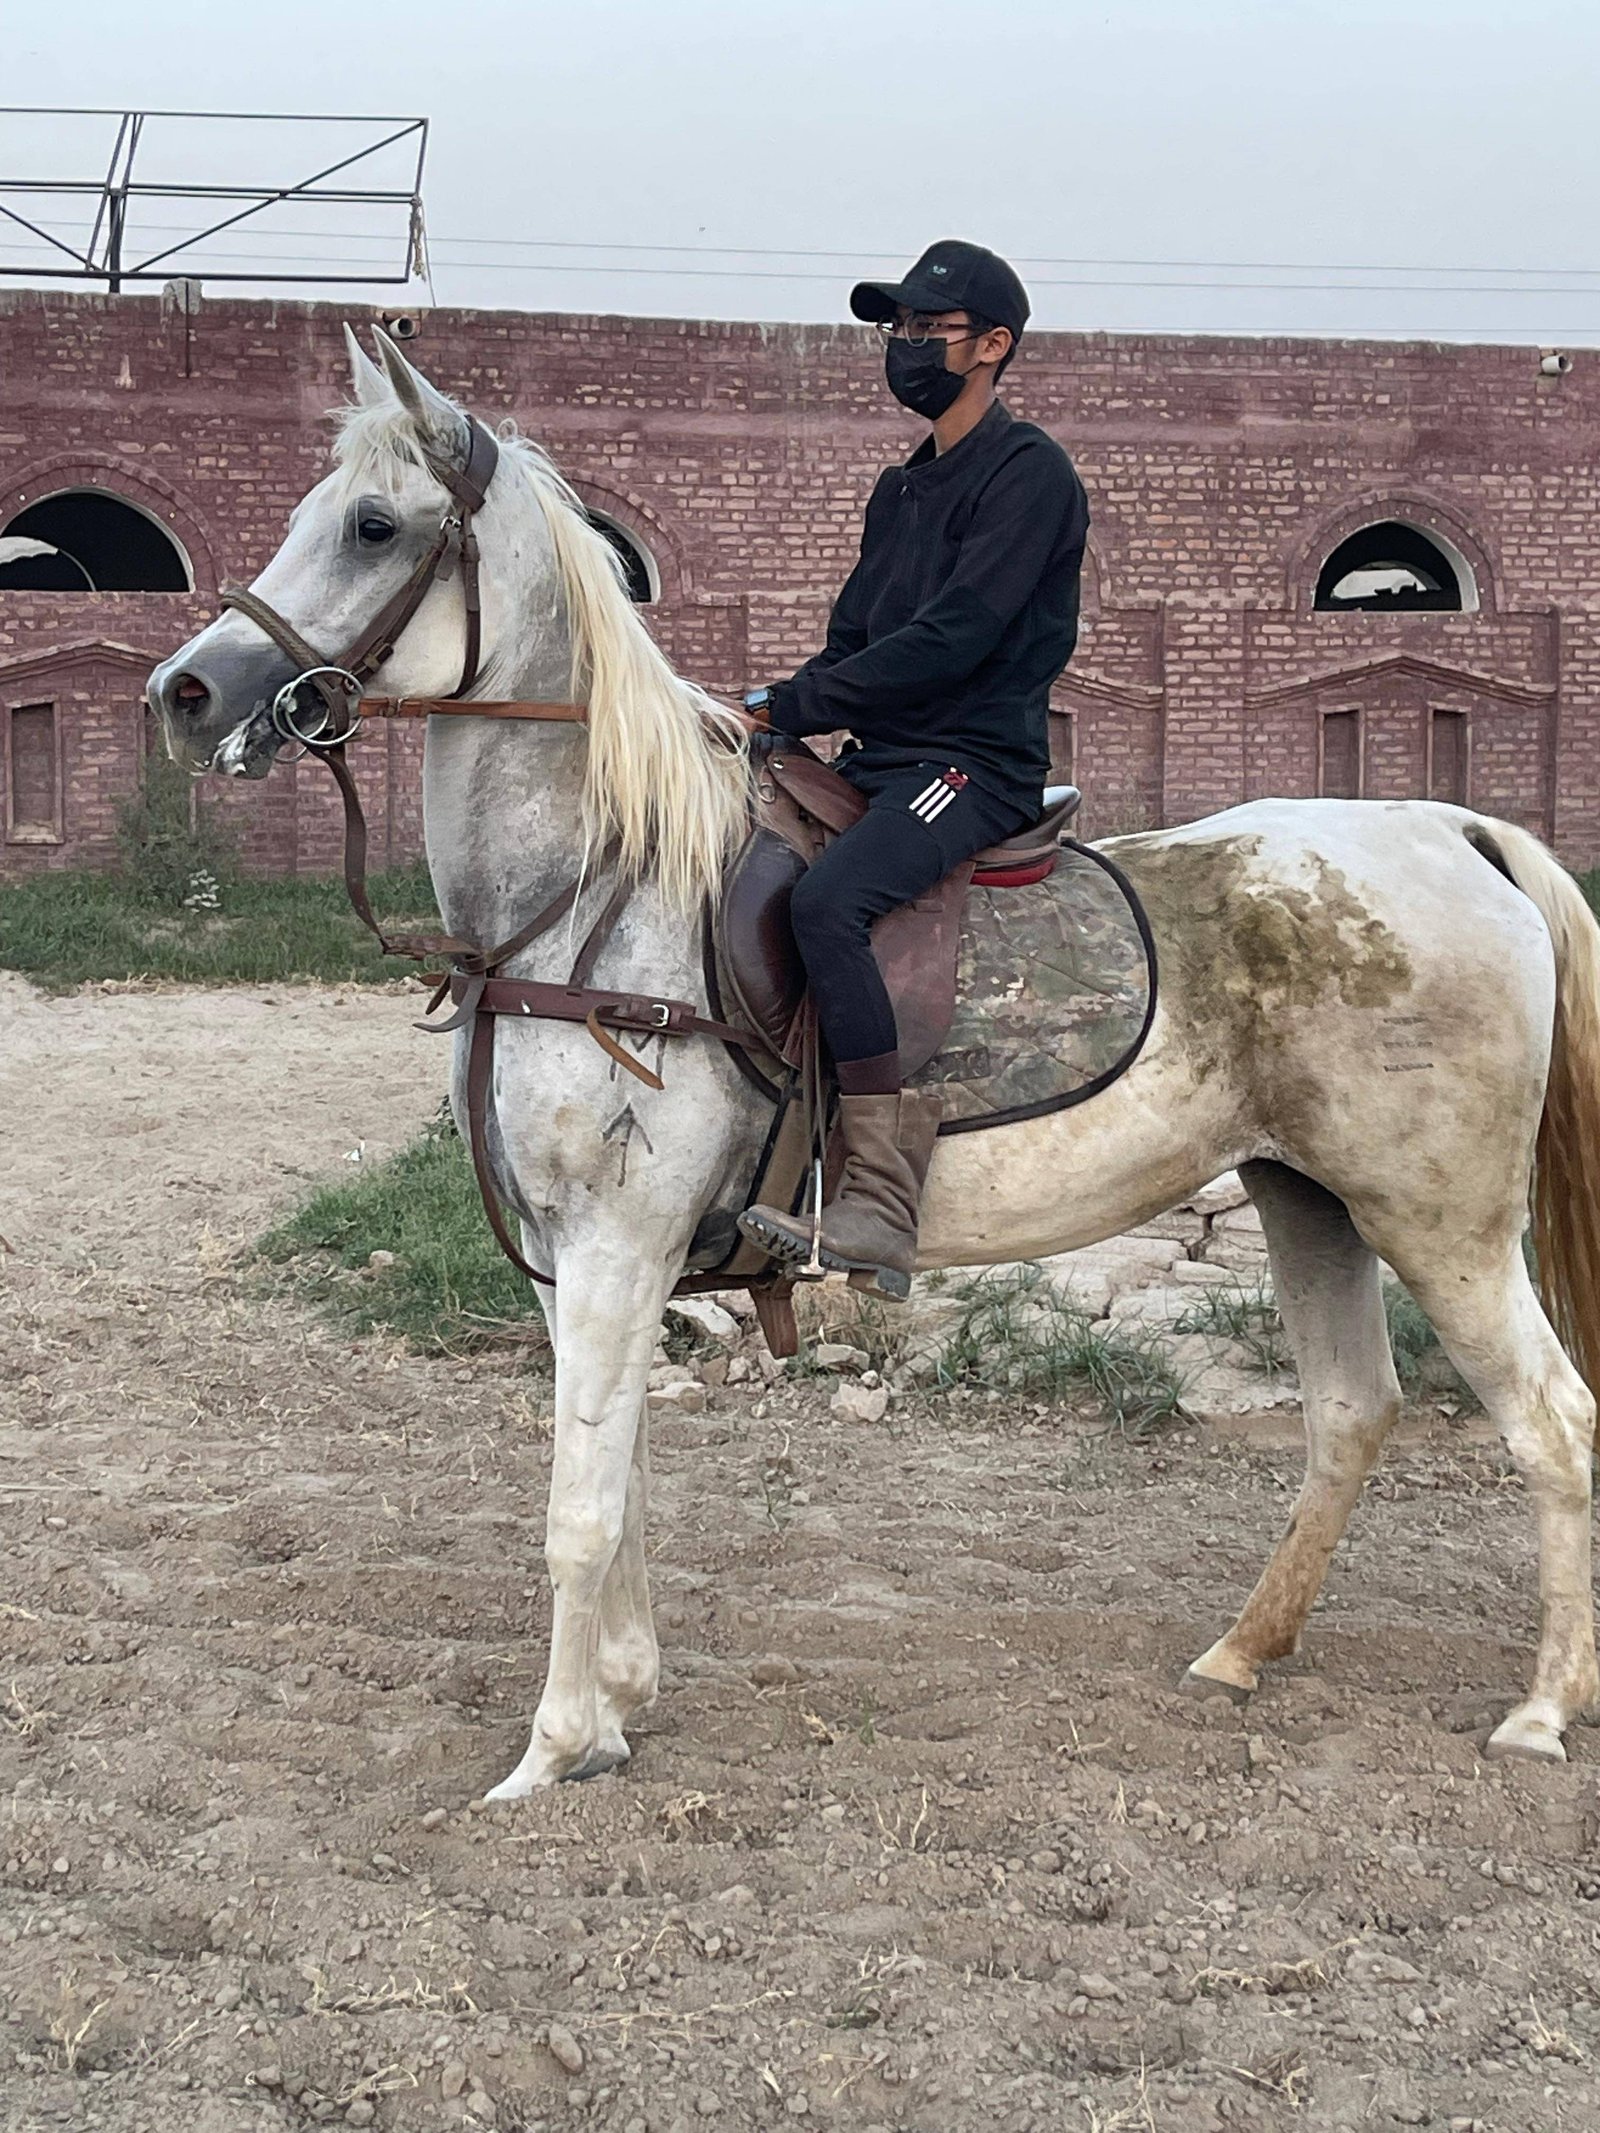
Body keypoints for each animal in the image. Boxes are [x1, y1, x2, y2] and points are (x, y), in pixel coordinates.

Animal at [148, 329, 1600, 1795]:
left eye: (374, 526)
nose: (185, 693)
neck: (593, 892)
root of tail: (1447, 829)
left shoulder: (616, 1249)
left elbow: (577, 1509)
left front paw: (548, 1752)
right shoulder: (576, 1259)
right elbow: (622, 1485)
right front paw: (616, 1708)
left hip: (1442, 1224)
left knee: (1554, 1422)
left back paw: (1542, 1708)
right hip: (1309, 1197)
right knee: (1352, 1411)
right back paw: (1243, 1651)